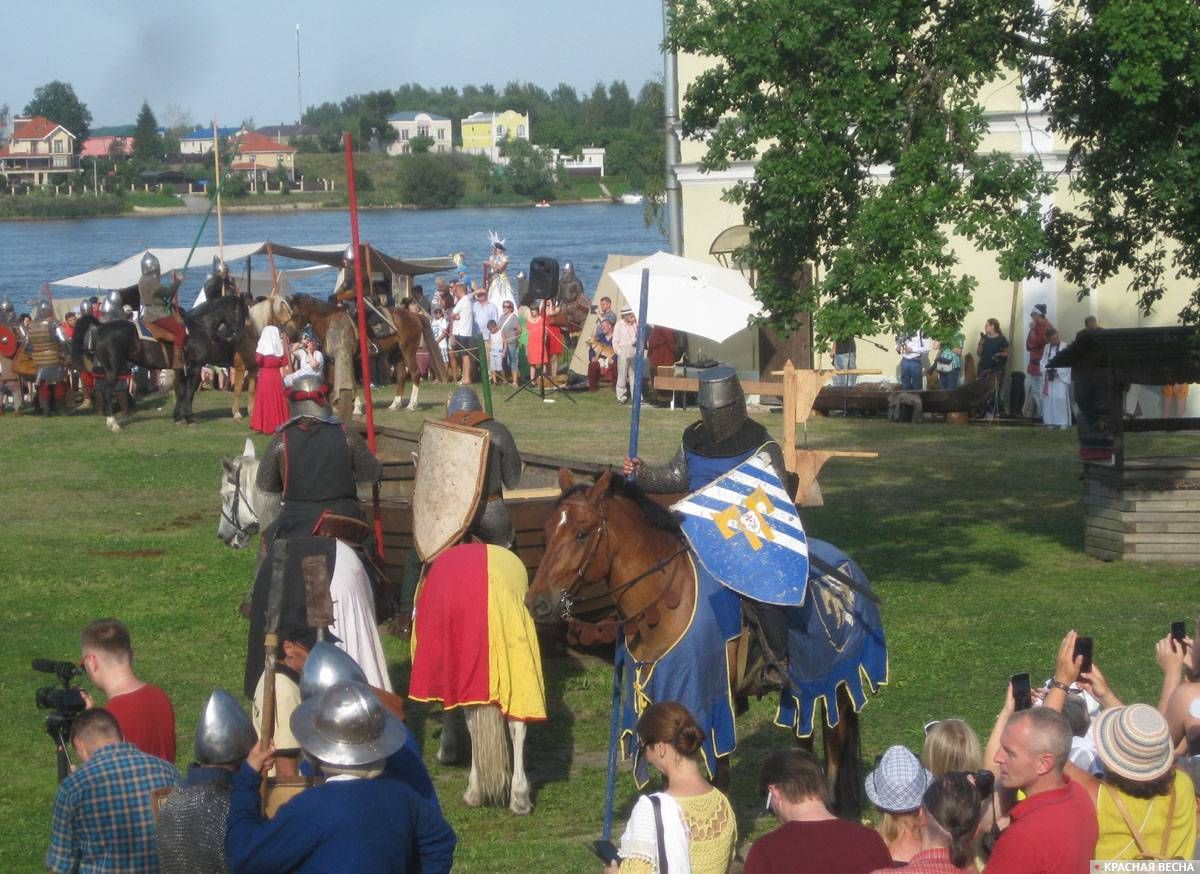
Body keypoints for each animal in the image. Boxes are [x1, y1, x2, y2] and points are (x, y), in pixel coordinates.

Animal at [288, 295, 448, 422]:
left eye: (295, 314)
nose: (291, 335)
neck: (330, 323)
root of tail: (414, 316)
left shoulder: (348, 359)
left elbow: (352, 382)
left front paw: (356, 408)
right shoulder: (333, 361)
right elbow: (333, 382)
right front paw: (335, 406)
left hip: (408, 350)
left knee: (415, 374)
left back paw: (411, 405)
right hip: (396, 353)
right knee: (402, 376)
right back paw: (395, 404)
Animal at [528, 468, 892, 816]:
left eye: (581, 533)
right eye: (547, 531)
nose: (538, 603)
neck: (667, 600)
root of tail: (848, 562)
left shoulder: (714, 700)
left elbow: (720, 775)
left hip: (837, 677)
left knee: (835, 738)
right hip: (801, 685)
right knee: (804, 735)